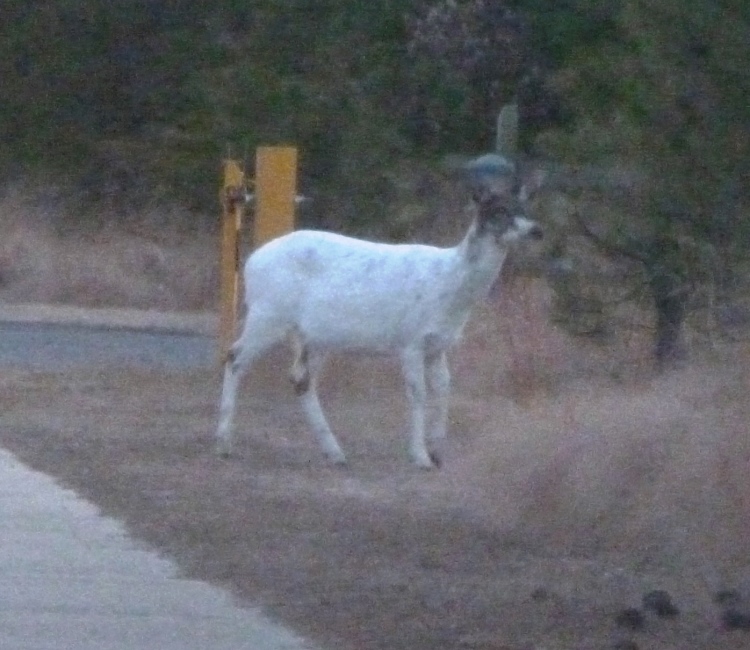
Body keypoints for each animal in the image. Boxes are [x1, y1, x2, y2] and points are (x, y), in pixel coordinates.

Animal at [214, 170, 544, 468]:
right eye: (499, 210)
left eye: (525, 207)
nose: (536, 230)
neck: (450, 288)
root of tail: (251, 261)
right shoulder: (411, 339)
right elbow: (418, 393)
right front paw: (420, 456)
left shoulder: (439, 344)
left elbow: (444, 387)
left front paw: (438, 452)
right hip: (268, 312)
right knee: (235, 357)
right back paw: (224, 442)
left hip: (315, 336)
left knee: (300, 378)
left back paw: (335, 452)